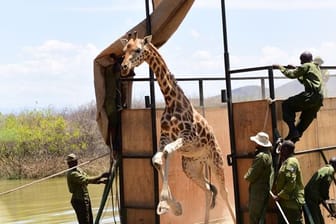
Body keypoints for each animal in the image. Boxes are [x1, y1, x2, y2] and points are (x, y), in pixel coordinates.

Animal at [119, 31, 235, 222]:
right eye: (123, 51)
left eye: (137, 50)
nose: (123, 66)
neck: (170, 100)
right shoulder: (164, 137)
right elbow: (157, 159)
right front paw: (173, 206)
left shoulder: (189, 136)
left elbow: (166, 152)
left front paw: (167, 203)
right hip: (192, 168)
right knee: (208, 190)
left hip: (216, 161)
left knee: (224, 192)